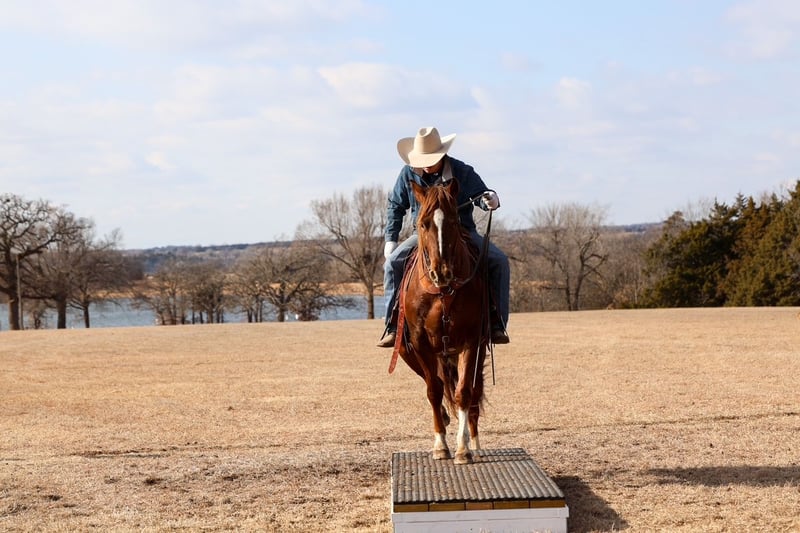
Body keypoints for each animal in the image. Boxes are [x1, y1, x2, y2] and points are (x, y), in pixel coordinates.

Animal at [390, 178, 490, 465]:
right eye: (423, 223)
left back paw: (474, 442)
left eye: (454, 221)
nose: (441, 272)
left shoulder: (471, 341)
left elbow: (464, 392)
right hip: (410, 352)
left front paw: (463, 449)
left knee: (473, 393)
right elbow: (433, 390)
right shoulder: (419, 343)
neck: (442, 293)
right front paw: (440, 445)